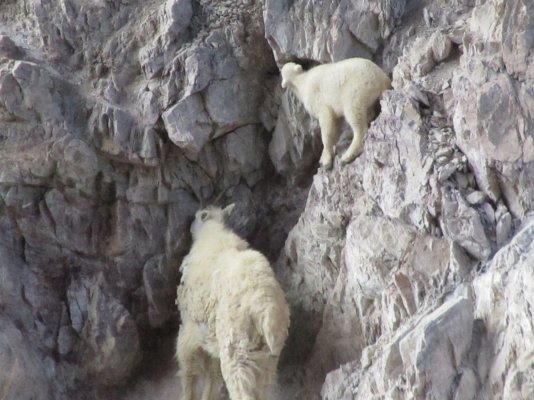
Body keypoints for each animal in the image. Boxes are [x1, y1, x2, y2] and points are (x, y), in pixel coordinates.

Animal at [177, 205, 292, 400]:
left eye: (200, 215)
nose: (189, 223)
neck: (211, 236)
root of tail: (265, 309)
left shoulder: (190, 328)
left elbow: (188, 367)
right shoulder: (210, 336)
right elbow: (212, 371)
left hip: (237, 349)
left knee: (241, 390)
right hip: (264, 356)